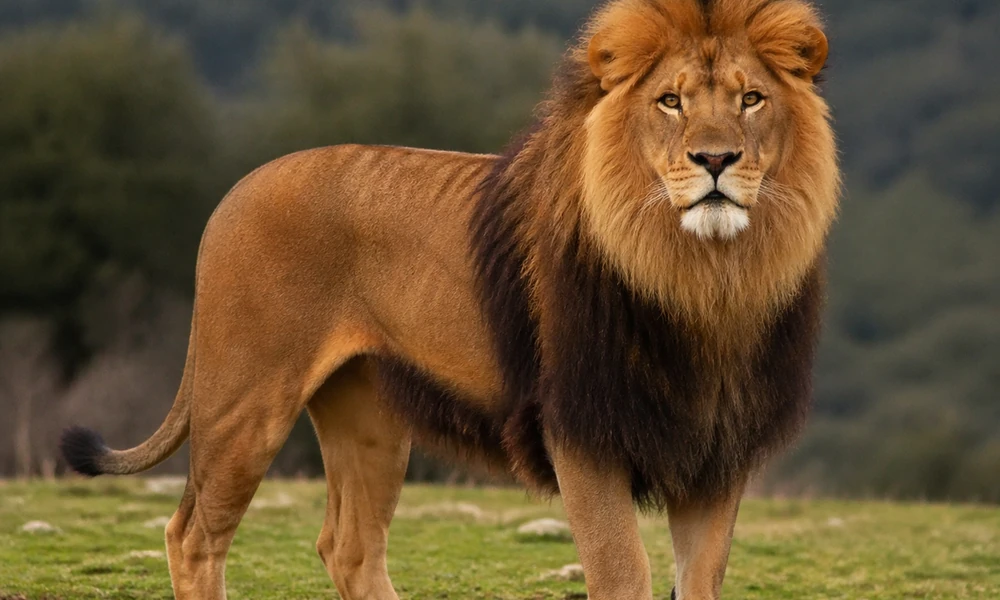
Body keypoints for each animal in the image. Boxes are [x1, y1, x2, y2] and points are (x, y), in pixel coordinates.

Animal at [60, 0, 839, 598]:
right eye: (669, 101)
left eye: (750, 99)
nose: (716, 160)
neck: (704, 280)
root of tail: (236, 190)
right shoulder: (580, 432)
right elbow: (622, 573)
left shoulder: (717, 452)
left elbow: (699, 581)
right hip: (244, 398)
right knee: (193, 535)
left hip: (368, 416)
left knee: (349, 546)